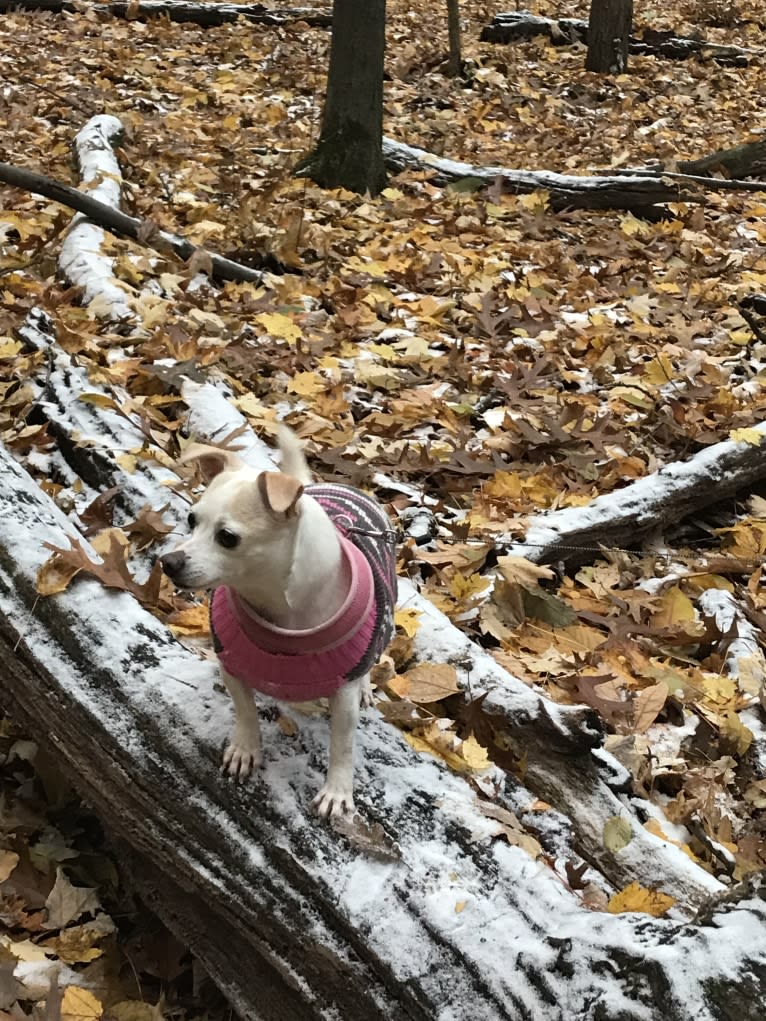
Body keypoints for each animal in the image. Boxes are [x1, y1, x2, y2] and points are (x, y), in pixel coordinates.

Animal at [163, 426, 402, 816]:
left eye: (227, 538)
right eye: (191, 520)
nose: (168, 562)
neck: (279, 606)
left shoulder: (343, 697)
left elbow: (343, 744)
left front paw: (337, 790)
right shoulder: (233, 664)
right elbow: (245, 710)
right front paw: (246, 749)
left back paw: (367, 685)